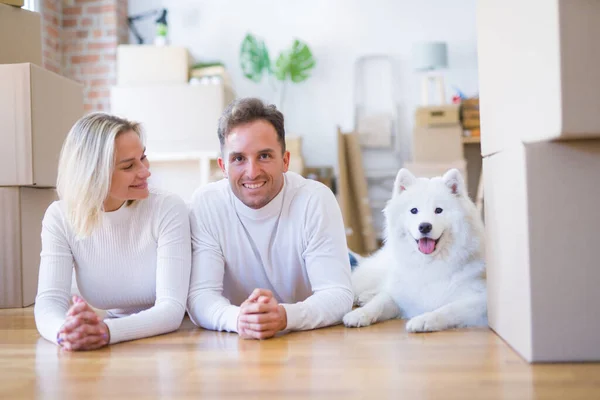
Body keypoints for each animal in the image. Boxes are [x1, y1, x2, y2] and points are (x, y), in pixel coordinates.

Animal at [342, 168, 488, 332]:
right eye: (414, 210)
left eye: (438, 210)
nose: (424, 226)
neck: (428, 264)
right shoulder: (400, 295)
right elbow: (379, 302)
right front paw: (359, 314)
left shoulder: (479, 300)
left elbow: (448, 309)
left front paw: (423, 320)